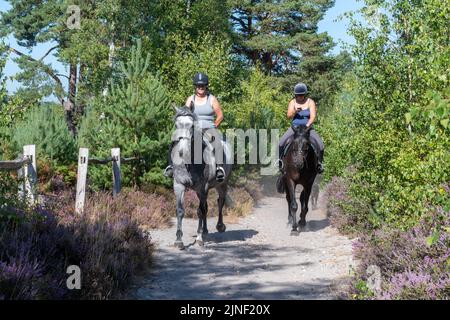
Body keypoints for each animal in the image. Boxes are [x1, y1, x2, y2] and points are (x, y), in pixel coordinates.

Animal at [170, 106, 232, 249]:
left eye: (192, 125)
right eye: (176, 125)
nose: (182, 151)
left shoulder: (203, 187)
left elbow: (200, 211)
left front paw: (199, 239)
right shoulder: (179, 185)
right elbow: (180, 211)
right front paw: (178, 240)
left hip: (222, 184)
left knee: (220, 201)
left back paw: (219, 226)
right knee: (207, 206)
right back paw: (205, 231)